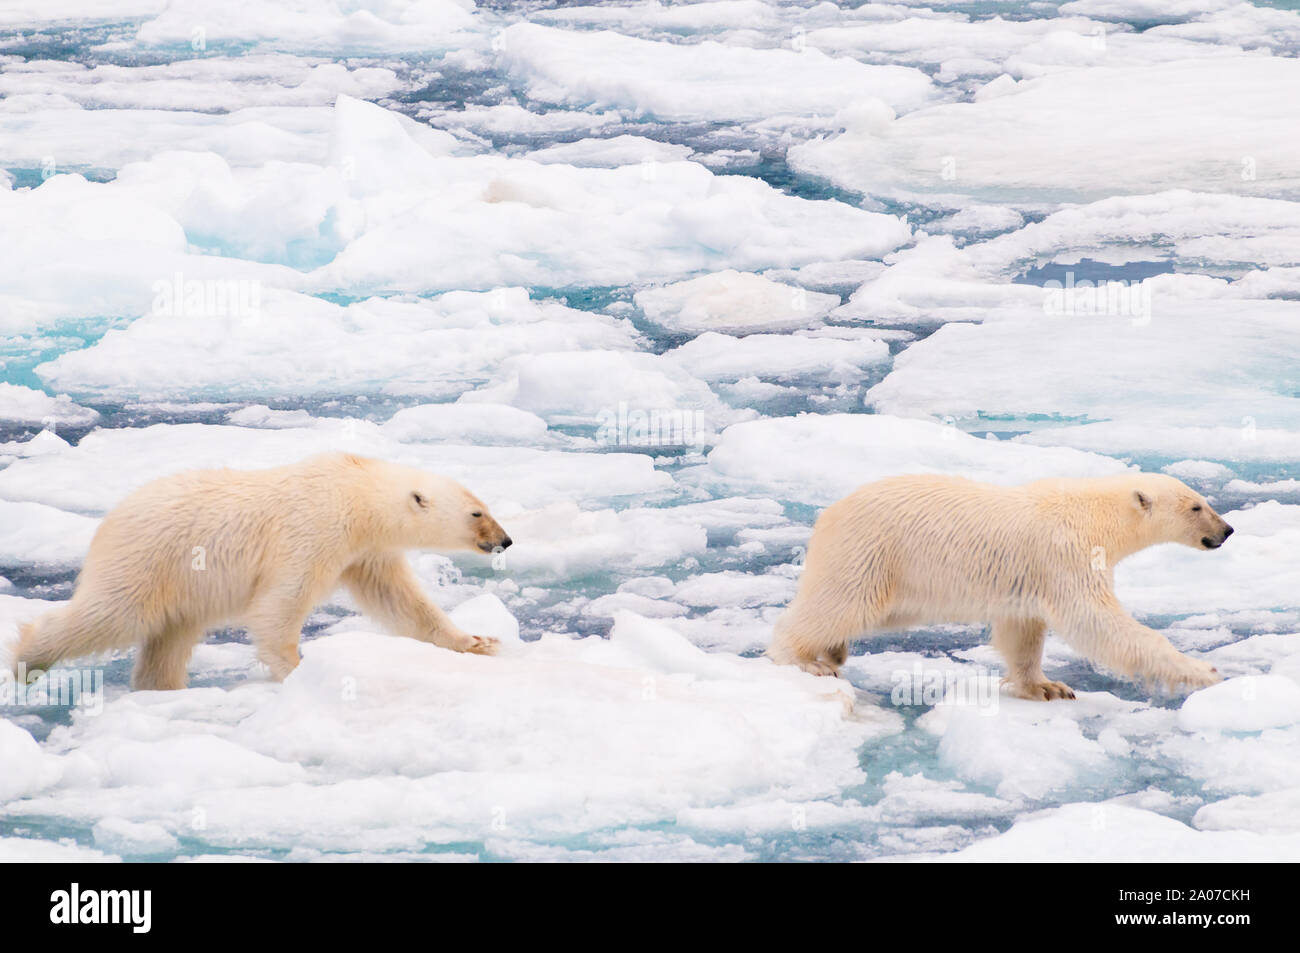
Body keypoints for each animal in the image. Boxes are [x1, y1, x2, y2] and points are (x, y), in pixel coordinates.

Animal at [9, 452, 512, 691]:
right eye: (476, 514)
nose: (505, 540)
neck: (355, 491)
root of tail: (111, 518)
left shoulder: (365, 551)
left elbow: (400, 599)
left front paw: (477, 641)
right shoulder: (314, 528)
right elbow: (280, 603)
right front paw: (298, 667)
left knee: (171, 636)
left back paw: (164, 688)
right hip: (148, 558)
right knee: (110, 614)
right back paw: (26, 659)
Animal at [767, 472, 1234, 698]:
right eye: (1197, 506)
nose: (1226, 530)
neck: (1095, 512)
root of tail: (827, 515)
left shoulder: (1028, 578)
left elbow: (1022, 630)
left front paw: (1046, 687)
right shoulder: (1067, 553)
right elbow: (1095, 620)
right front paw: (1203, 671)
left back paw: (835, 649)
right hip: (872, 551)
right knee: (841, 602)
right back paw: (808, 659)